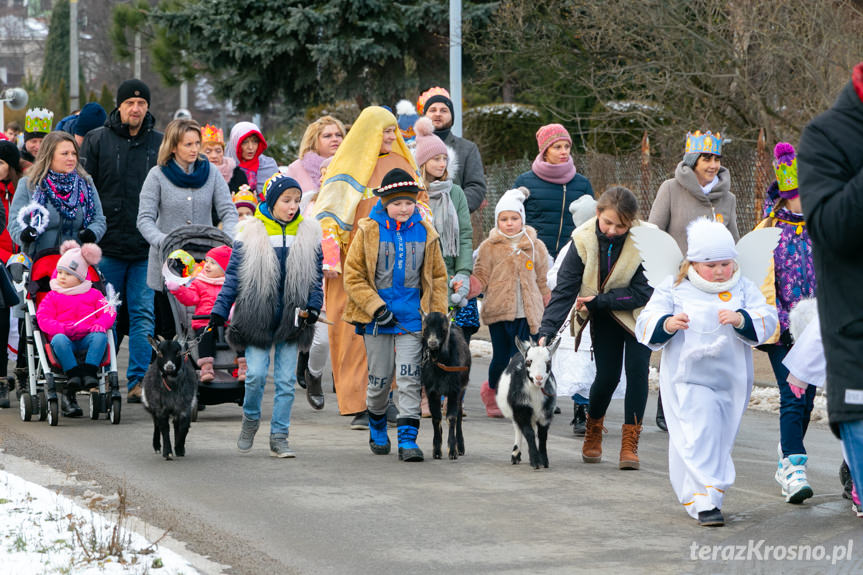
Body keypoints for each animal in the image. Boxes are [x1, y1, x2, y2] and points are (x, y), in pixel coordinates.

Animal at [420, 312, 472, 462]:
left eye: (443, 330)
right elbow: (436, 417)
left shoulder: (454, 390)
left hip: (462, 388)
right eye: (425, 329)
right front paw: (437, 450)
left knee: (459, 414)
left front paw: (452, 451)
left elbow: (451, 418)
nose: (432, 343)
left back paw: (461, 447)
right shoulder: (432, 391)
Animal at [500, 340, 560, 470]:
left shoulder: (546, 414)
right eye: (528, 362)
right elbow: (529, 433)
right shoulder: (521, 410)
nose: (539, 378)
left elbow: (542, 436)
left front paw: (544, 461)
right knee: (518, 428)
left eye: (548, 362)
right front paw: (535, 462)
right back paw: (515, 455)